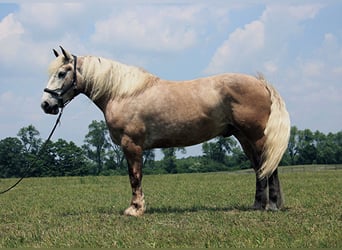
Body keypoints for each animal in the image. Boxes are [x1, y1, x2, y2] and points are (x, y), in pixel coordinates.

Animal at [41, 47, 290, 217]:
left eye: (62, 73)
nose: (46, 104)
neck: (123, 93)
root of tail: (261, 83)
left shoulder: (132, 145)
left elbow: (135, 176)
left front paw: (135, 209)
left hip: (256, 137)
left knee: (269, 166)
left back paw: (272, 205)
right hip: (244, 138)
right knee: (259, 168)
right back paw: (258, 205)